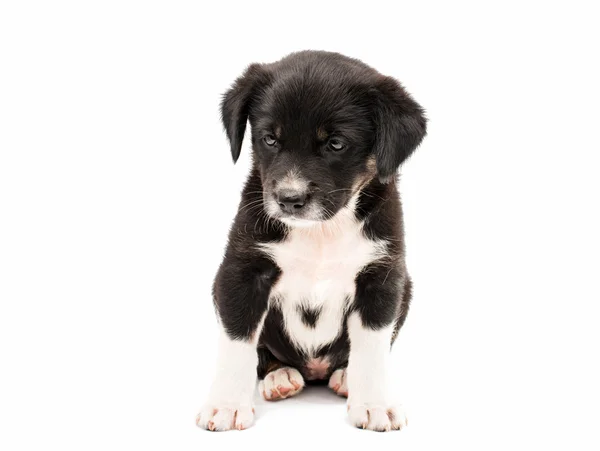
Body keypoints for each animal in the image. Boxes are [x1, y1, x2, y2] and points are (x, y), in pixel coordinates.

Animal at [197, 51, 426, 432]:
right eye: (270, 139)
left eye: (335, 143)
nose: (289, 199)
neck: (321, 232)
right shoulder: (242, 272)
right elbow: (237, 342)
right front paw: (227, 405)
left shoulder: (381, 277)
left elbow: (372, 346)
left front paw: (374, 403)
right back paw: (280, 376)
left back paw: (345, 377)